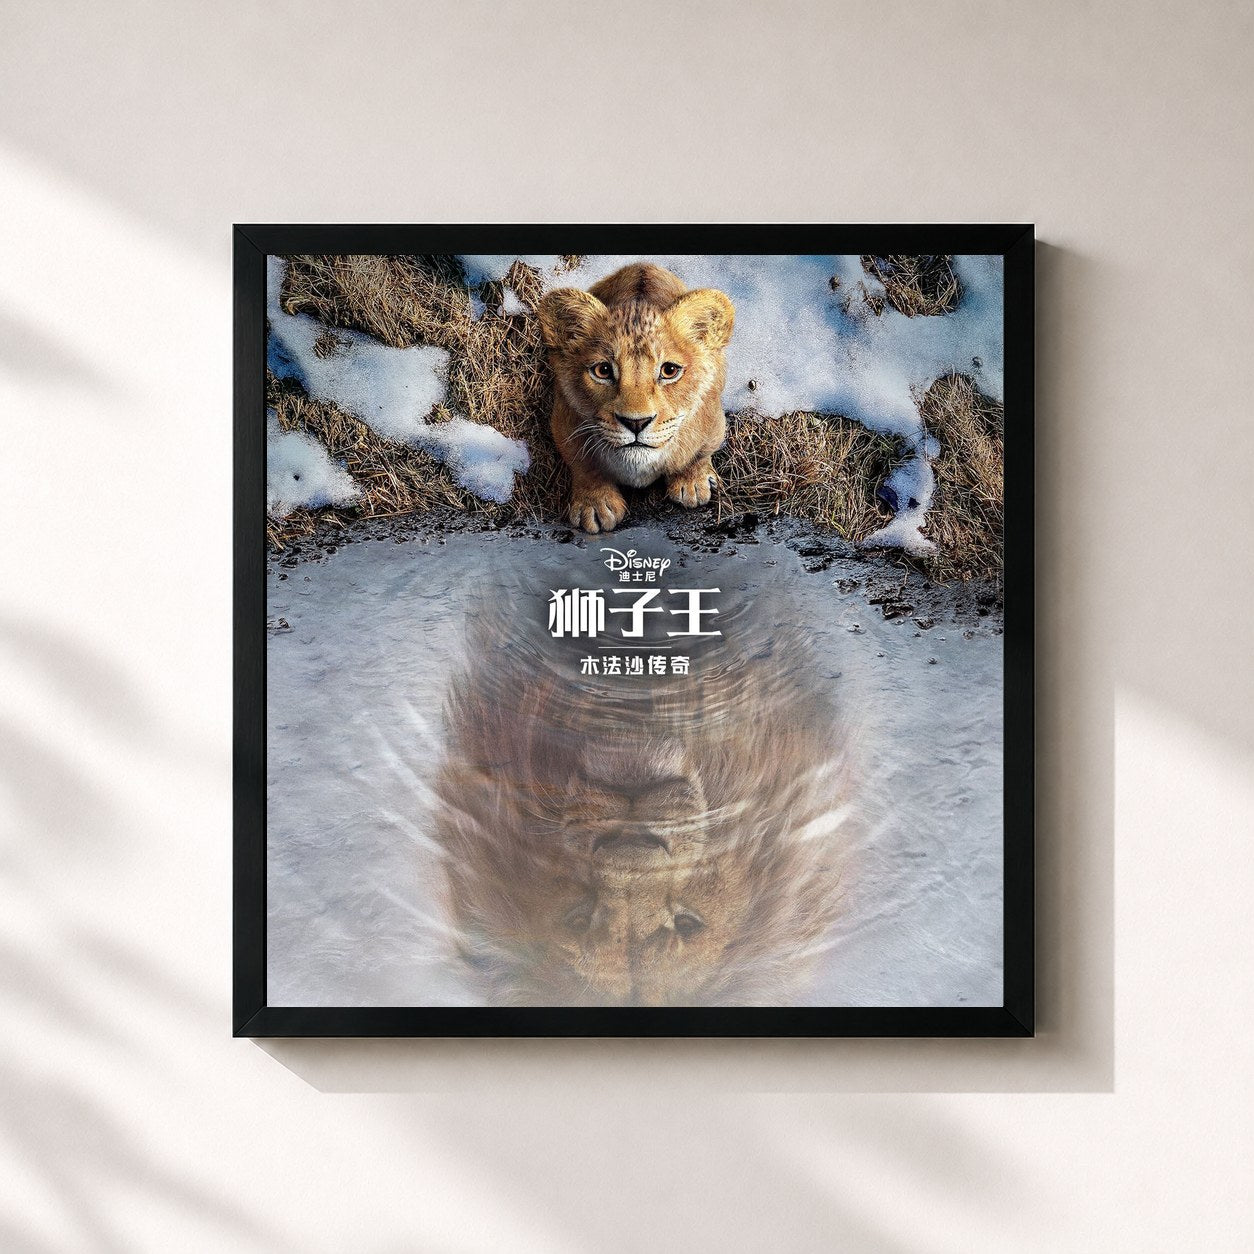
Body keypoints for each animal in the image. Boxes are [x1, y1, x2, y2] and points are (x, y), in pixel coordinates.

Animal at [536, 263, 735, 533]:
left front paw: (692, 483)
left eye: (669, 370)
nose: (636, 423)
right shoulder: (564, 422)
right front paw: (595, 505)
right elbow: (584, 465)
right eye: (603, 370)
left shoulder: (713, 421)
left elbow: (699, 454)